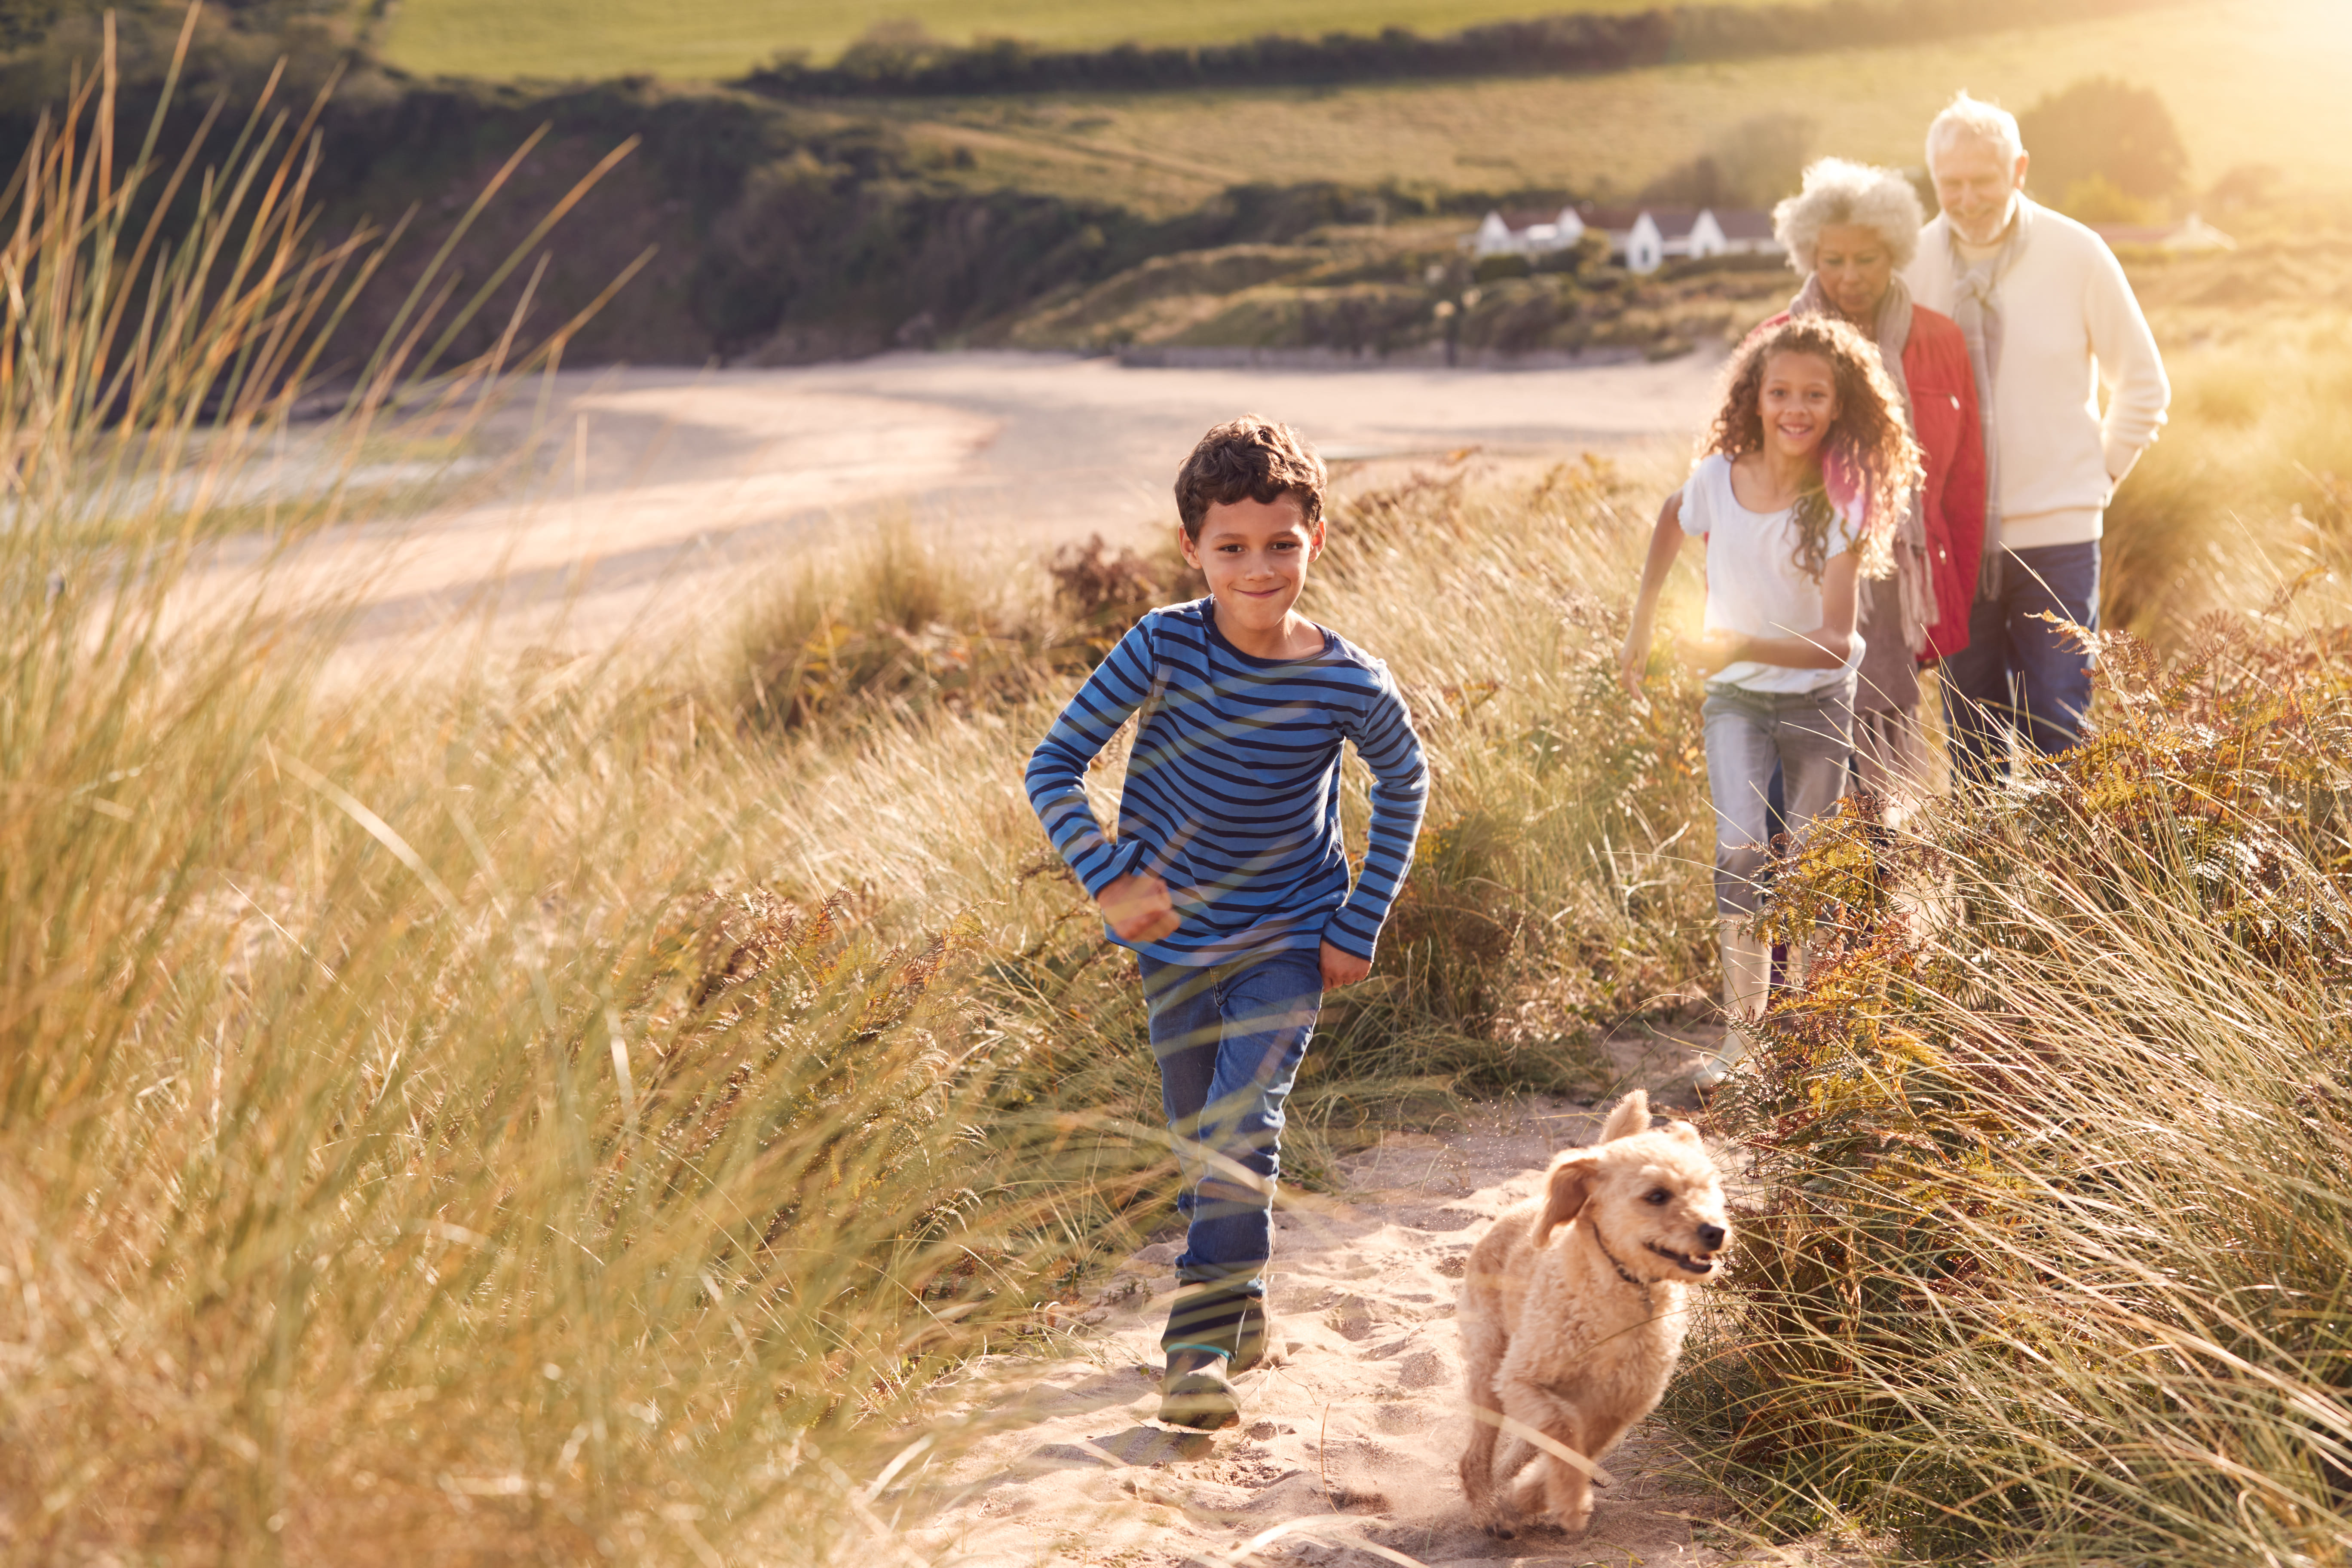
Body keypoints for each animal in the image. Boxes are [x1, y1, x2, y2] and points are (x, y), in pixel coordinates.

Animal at [1449, 1090, 1731, 1532]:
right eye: (1656, 1195)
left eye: (1708, 1188)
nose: (1715, 1232)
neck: (1622, 1289)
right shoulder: (1522, 1378)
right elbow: (1561, 1433)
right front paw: (1565, 1501)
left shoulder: (1616, 1408)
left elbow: (1572, 1450)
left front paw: (1526, 1502)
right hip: (1490, 1366)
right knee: (1477, 1452)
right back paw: (1483, 1506)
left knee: (1523, 1449)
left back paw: (1506, 1496)